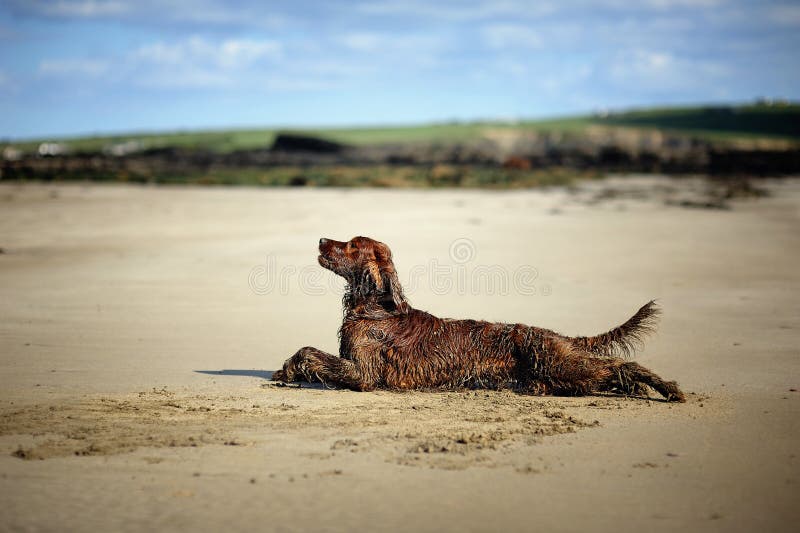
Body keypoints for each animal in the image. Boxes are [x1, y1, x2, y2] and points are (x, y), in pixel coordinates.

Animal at [272, 235, 684, 402]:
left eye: (352, 244)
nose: (321, 240)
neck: (375, 307)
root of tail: (555, 333)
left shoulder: (363, 374)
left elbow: (308, 351)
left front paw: (288, 369)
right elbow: (308, 352)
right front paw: (285, 370)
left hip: (557, 362)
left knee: (620, 365)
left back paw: (665, 388)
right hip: (552, 373)